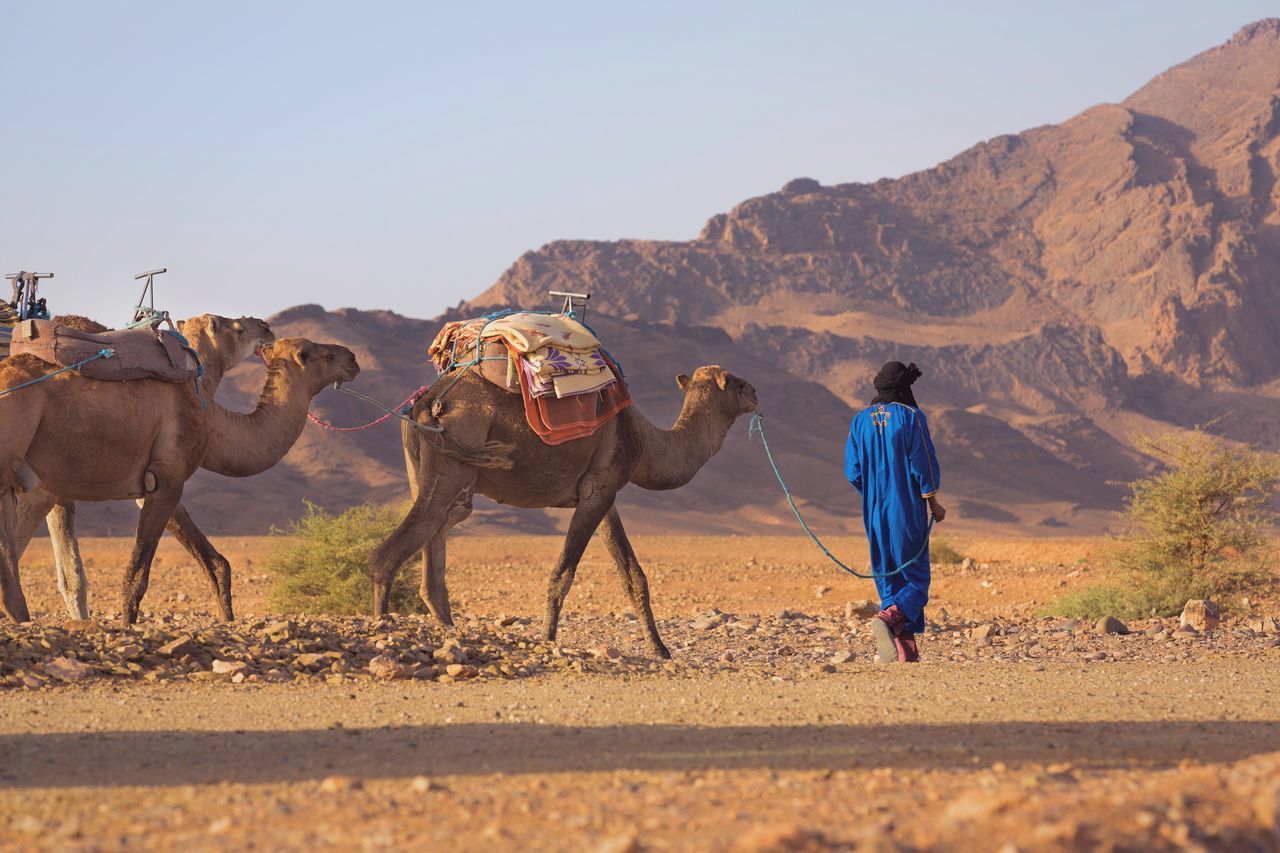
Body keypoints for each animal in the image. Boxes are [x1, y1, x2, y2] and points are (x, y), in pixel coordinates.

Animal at [366, 361, 752, 653]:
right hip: (452, 467)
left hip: (424, 467)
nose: (755, 392)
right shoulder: (599, 490)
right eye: (734, 382)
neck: (646, 443)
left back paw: (453, 636)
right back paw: (385, 633)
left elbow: (633, 577)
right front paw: (548, 641)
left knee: (433, 563)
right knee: (390, 553)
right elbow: (563, 574)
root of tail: (429, 401)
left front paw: (660, 650)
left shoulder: (602, 494)